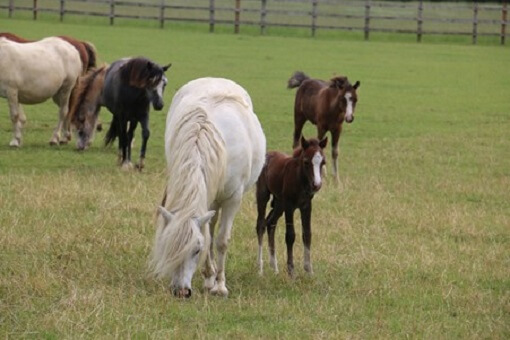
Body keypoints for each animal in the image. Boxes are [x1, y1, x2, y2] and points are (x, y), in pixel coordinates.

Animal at [148, 77, 264, 298]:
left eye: (196, 250)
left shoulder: (233, 199)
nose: (181, 292)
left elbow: (221, 240)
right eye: (168, 247)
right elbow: (208, 235)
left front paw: (220, 286)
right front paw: (210, 279)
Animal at [255, 134, 326, 278]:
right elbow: (290, 235)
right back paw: (260, 268)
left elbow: (307, 234)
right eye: (306, 162)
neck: (300, 180)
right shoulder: (289, 206)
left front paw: (309, 270)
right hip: (264, 195)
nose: (317, 185)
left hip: (279, 203)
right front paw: (291, 270)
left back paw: (274, 267)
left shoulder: (306, 206)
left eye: (323, 162)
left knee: (270, 222)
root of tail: (268, 154)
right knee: (260, 225)